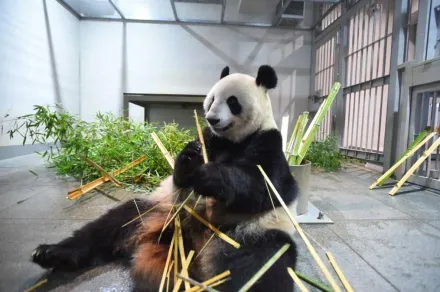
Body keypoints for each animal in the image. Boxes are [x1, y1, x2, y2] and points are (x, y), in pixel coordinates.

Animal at [30, 65, 300, 290]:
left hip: (249, 233)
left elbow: (265, 187)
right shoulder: (210, 139)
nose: (212, 118)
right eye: (212, 99)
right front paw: (189, 159)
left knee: (262, 265)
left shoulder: (267, 142)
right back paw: (51, 253)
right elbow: (180, 174)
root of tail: (189, 246)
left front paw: (209, 176)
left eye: (233, 102)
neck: (231, 141)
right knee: (109, 225)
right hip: (157, 210)